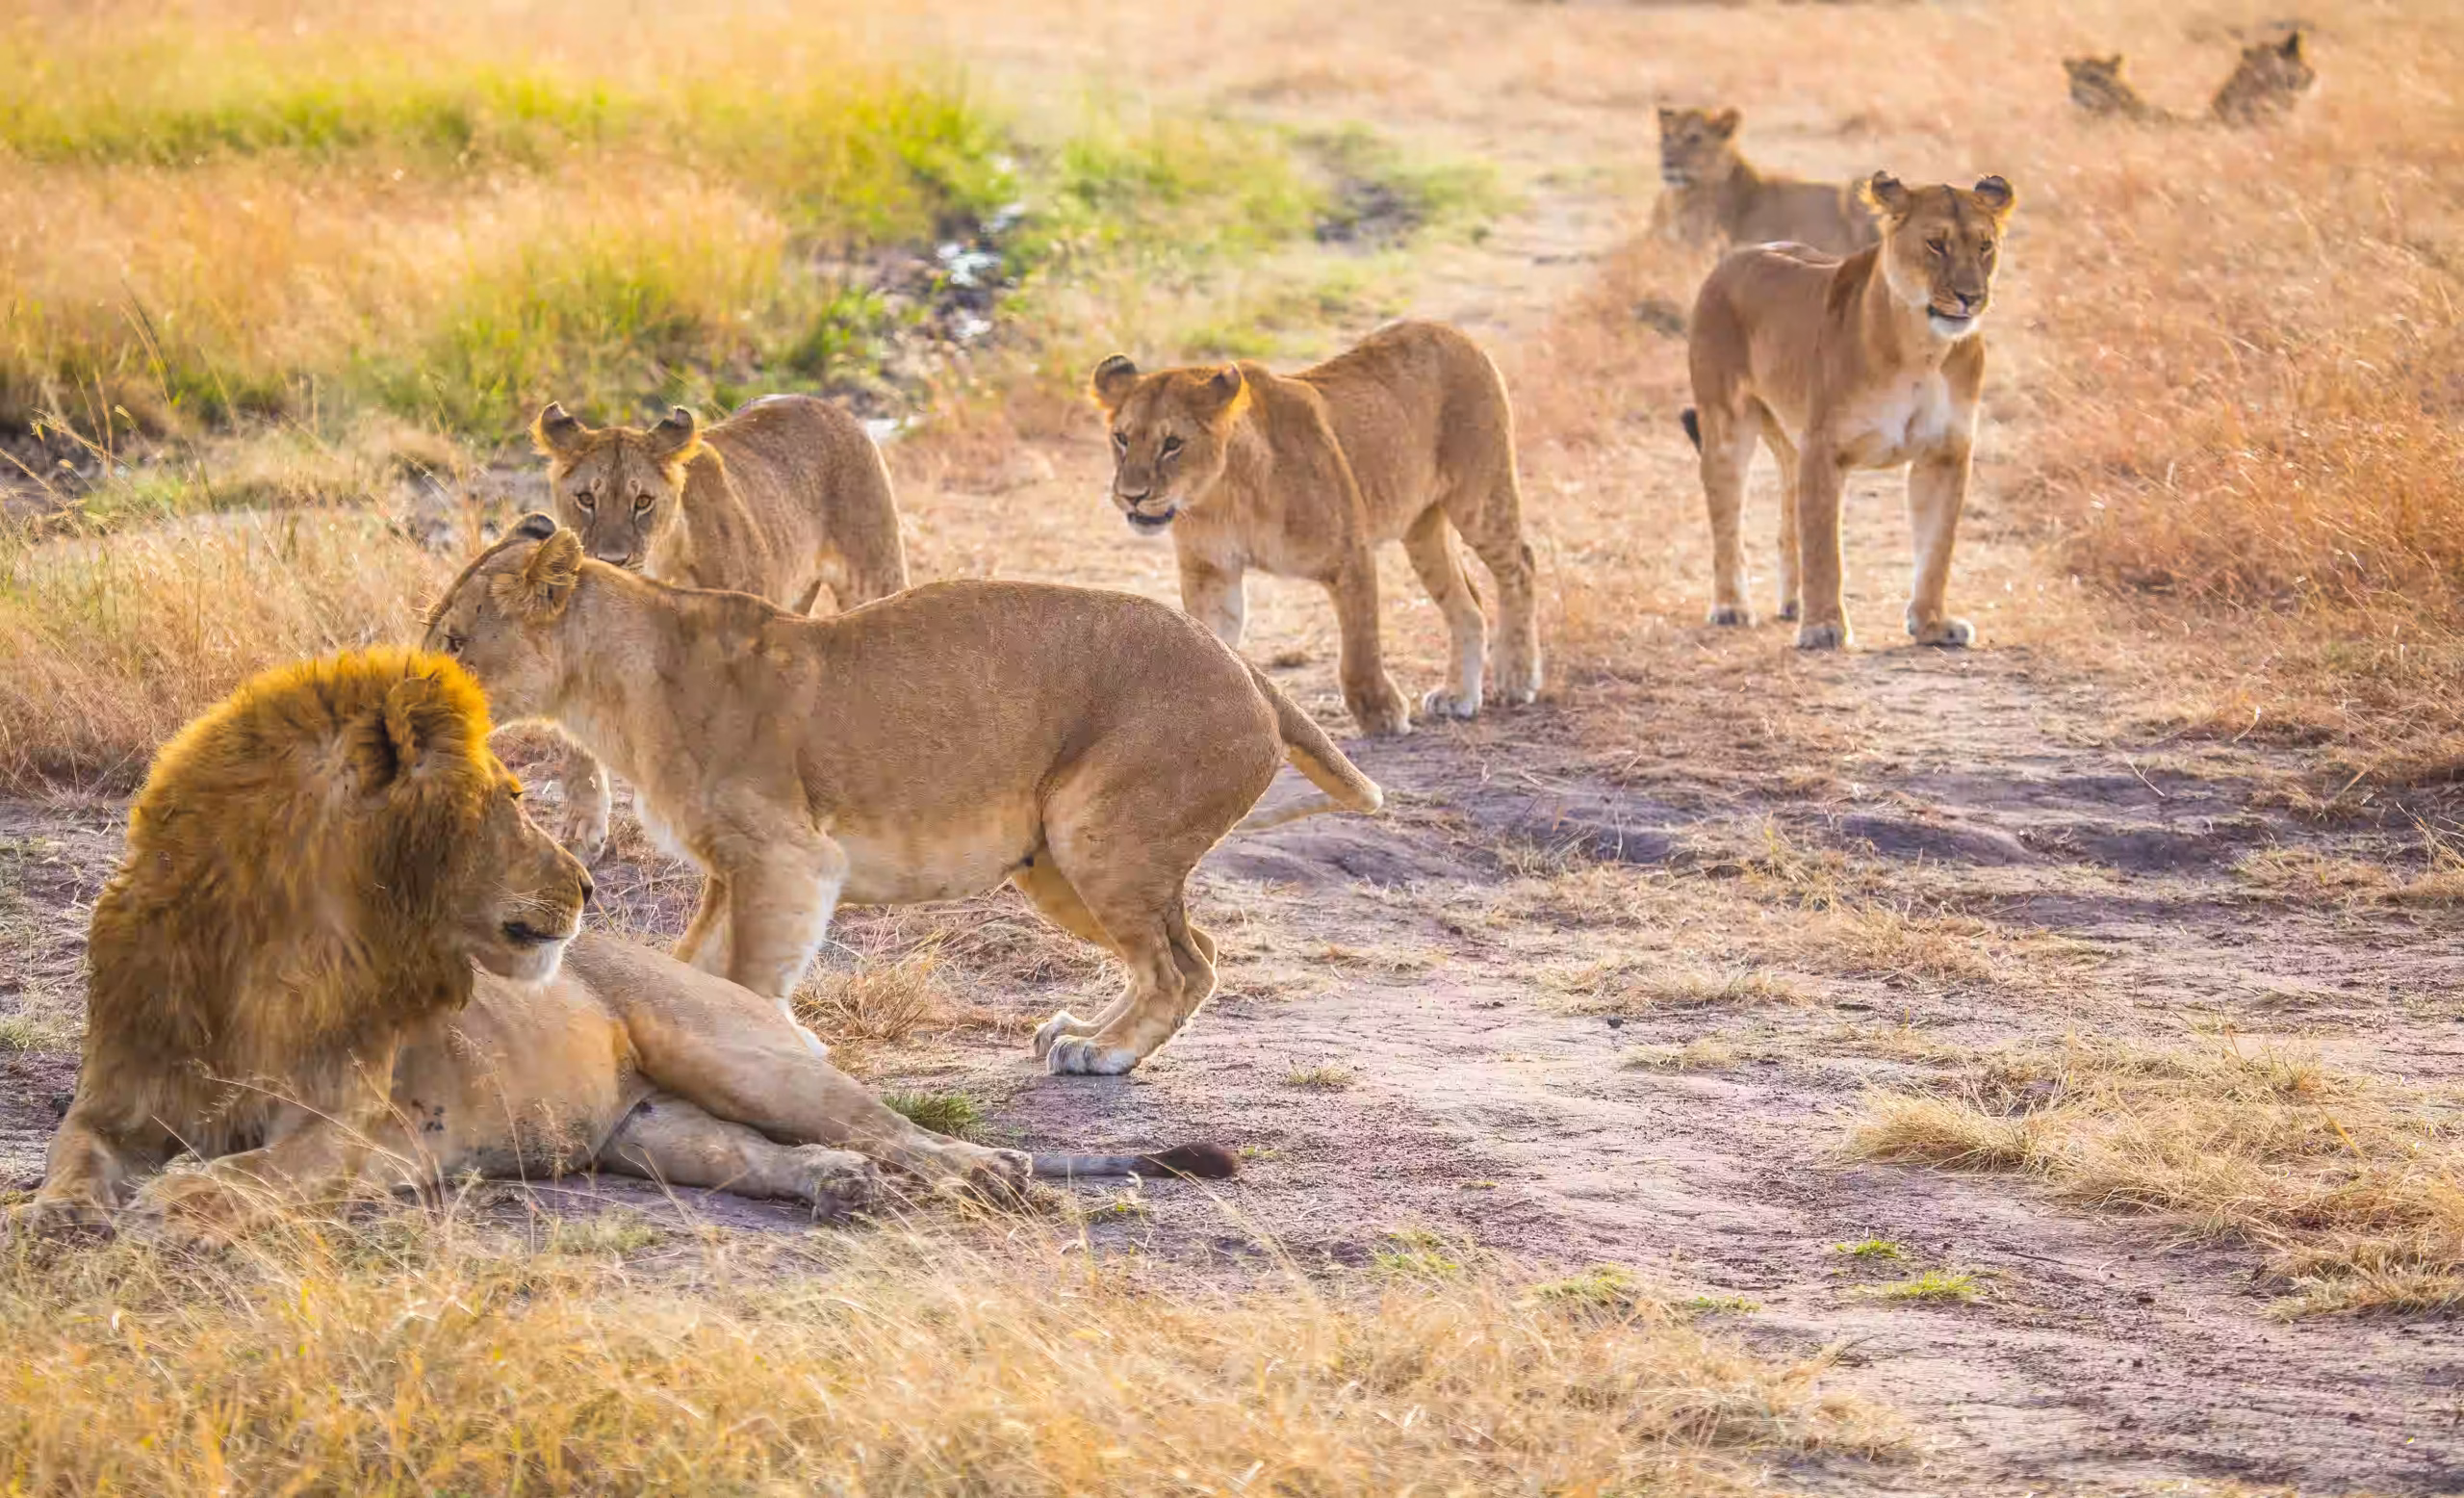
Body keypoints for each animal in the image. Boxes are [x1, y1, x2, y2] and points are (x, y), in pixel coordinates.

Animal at [19, 649, 1229, 1233]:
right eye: (511, 797)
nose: (592, 882)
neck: (258, 943)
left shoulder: (353, 1132)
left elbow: (250, 1171)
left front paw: (174, 1201)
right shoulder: (111, 1103)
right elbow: (69, 1162)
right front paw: (54, 1218)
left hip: (738, 1051)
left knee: (898, 1128)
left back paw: (980, 1174)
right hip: (651, 1130)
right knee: (762, 1154)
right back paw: (842, 1187)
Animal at [424, 518, 1384, 1076]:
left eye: (459, 640)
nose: (423, 698)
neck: (614, 687)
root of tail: (1247, 672)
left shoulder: (789, 857)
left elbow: (748, 976)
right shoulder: (733, 869)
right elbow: (694, 970)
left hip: (1098, 835)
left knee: (1182, 964)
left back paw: (1101, 1053)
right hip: (1055, 865)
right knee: (1193, 954)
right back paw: (1078, 1033)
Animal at [528, 395, 909, 858]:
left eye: (643, 502)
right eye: (586, 498)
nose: (611, 559)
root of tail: (821, 402)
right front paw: (581, 828)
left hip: (874, 575)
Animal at [1086, 320, 1540, 737]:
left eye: (1172, 444)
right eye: (1122, 438)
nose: (1131, 496)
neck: (1221, 496)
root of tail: (1450, 330)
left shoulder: (1351, 555)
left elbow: (1359, 649)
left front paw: (1381, 713)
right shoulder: (1211, 571)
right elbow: (1211, 641)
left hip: (1480, 499)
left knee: (1521, 566)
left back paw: (1517, 676)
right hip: (1421, 528)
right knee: (1468, 604)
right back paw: (1460, 696)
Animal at [1679, 171, 2018, 651]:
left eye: (1985, 245)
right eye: (1936, 244)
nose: (1971, 297)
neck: (1923, 350)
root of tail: (1734, 257)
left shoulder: (1946, 453)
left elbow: (1937, 548)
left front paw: (1932, 624)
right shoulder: (1826, 448)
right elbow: (1826, 547)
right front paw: (1823, 627)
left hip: (1790, 440)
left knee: (1788, 509)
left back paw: (1793, 604)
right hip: (1726, 424)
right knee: (1727, 517)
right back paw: (1731, 607)